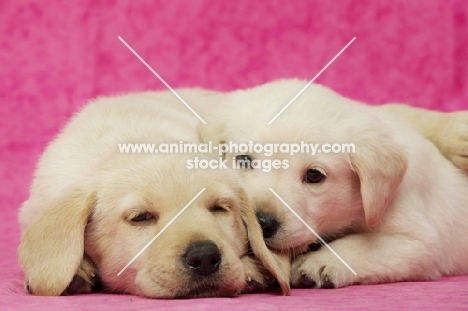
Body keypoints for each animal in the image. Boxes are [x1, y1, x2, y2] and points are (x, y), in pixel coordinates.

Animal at [199, 80, 468, 290]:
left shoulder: (420, 241)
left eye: (314, 176)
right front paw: (249, 264)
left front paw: (320, 262)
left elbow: (363, 246)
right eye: (243, 160)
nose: (263, 223)